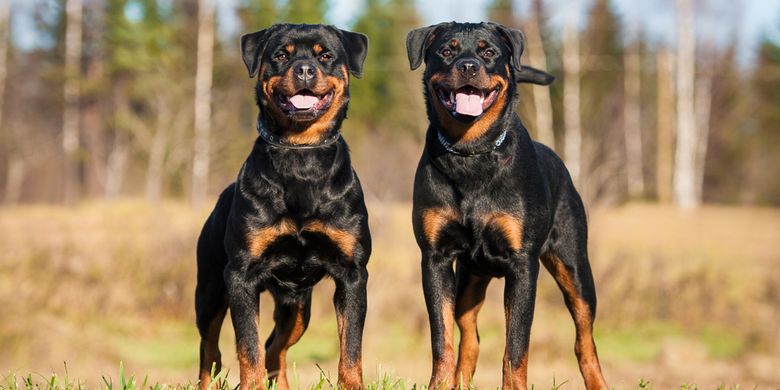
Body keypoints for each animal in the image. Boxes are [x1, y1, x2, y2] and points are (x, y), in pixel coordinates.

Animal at [193, 24, 368, 390]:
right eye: (280, 55)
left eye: (325, 55)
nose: (304, 69)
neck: (300, 155)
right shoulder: (241, 275)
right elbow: (248, 346)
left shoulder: (353, 273)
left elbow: (351, 347)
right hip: (210, 291)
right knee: (210, 350)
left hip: (298, 306)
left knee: (276, 347)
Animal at [408, 22, 608, 390]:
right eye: (446, 50)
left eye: (488, 52)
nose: (468, 66)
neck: (470, 153)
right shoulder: (435, 257)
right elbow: (442, 338)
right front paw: (439, 384)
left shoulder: (522, 263)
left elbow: (516, 345)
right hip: (469, 277)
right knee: (469, 337)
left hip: (574, 266)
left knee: (585, 338)